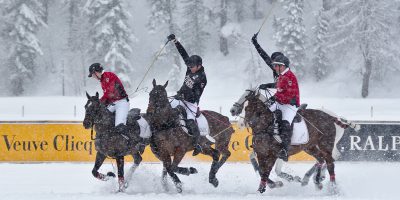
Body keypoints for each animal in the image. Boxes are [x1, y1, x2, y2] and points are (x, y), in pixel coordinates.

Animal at [231, 88, 360, 193]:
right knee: (322, 159)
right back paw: (315, 180)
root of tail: (332, 117)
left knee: (330, 162)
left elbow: (272, 170)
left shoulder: (276, 154)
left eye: (246, 106)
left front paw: (282, 182)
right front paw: (273, 184)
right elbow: (257, 165)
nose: (239, 123)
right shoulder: (261, 152)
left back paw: (329, 186)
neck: (266, 126)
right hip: (310, 146)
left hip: (326, 145)